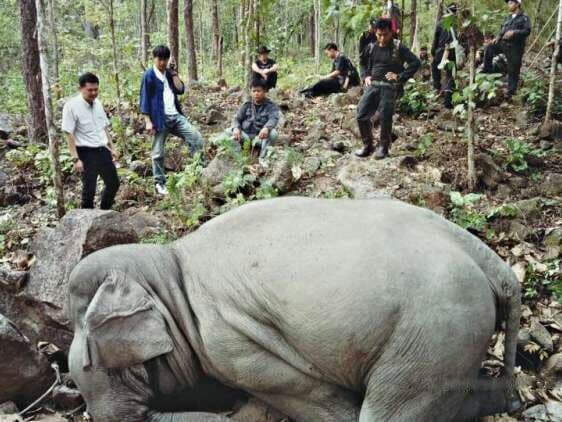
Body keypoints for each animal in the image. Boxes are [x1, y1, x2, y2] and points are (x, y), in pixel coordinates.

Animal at [66, 199, 520, 422]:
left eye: (98, 363)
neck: (169, 264)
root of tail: (494, 264)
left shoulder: (231, 346)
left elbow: (296, 388)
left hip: (432, 333)